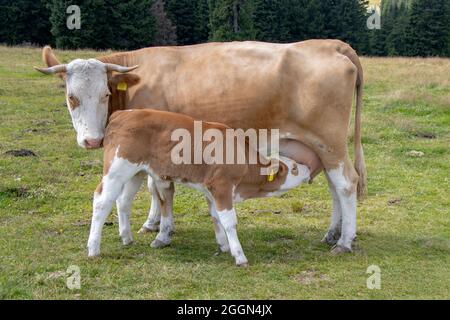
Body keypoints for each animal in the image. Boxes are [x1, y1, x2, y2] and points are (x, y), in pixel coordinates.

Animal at [89, 109, 312, 266]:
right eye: (293, 168)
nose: (308, 169)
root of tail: (123, 113)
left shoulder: (211, 190)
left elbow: (216, 217)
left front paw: (223, 245)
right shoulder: (221, 186)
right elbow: (229, 221)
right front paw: (239, 256)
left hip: (136, 173)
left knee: (123, 201)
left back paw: (126, 237)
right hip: (117, 169)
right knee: (102, 200)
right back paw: (93, 249)